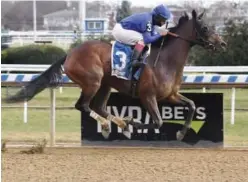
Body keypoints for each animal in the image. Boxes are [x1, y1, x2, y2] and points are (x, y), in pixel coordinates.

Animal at [5, 9, 227, 140]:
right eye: (205, 27)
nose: (223, 43)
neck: (165, 60)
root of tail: (70, 53)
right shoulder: (148, 96)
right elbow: (157, 121)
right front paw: (133, 122)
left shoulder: (170, 95)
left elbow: (192, 105)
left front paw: (181, 132)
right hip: (92, 82)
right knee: (83, 106)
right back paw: (109, 125)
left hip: (105, 84)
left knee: (99, 107)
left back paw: (118, 124)